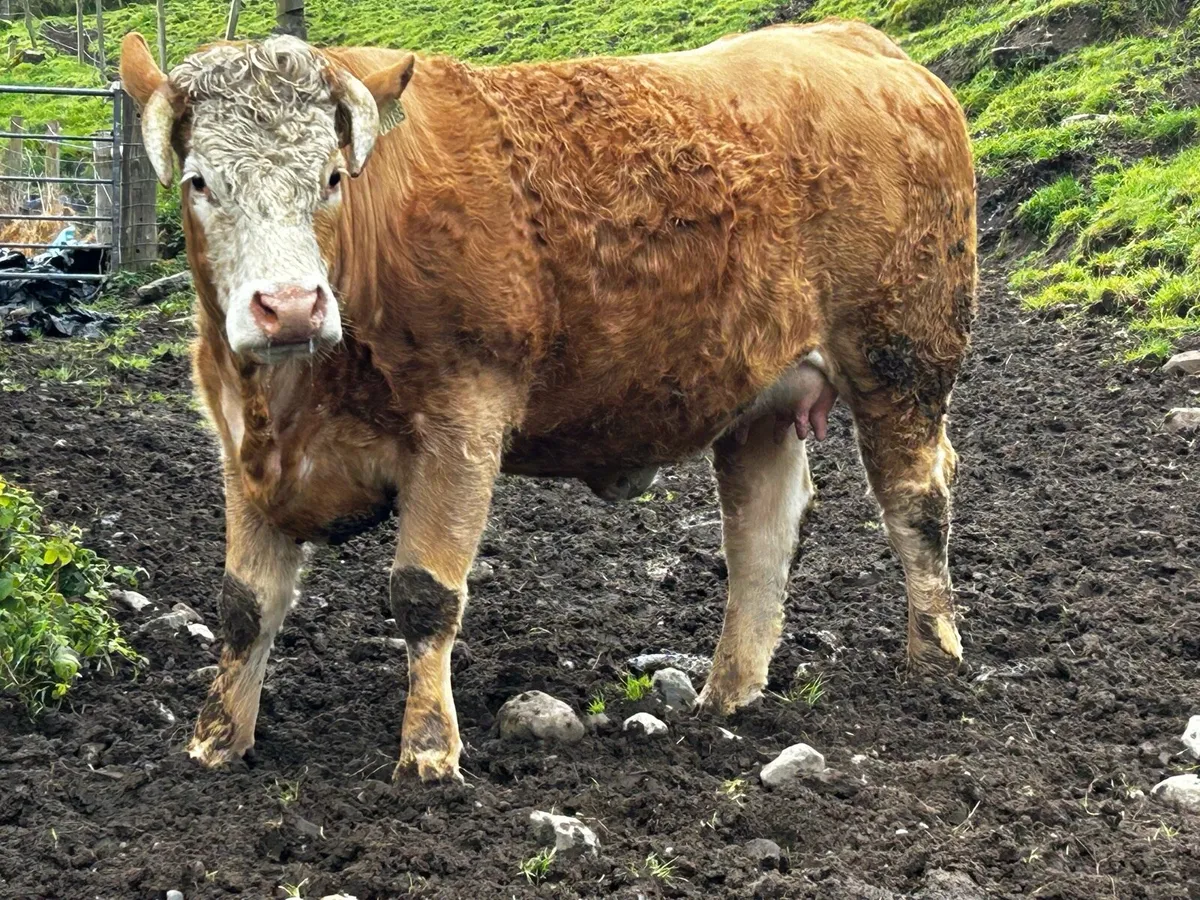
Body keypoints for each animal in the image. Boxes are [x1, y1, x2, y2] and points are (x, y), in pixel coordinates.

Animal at [118, 18, 976, 783]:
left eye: (331, 177)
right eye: (200, 182)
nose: (291, 306)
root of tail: (856, 42)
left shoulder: (463, 422)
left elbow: (424, 594)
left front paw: (428, 752)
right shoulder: (241, 445)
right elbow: (243, 604)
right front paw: (216, 741)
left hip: (902, 358)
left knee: (916, 502)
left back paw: (933, 661)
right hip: (760, 399)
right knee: (761, 532)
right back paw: (726, 696)